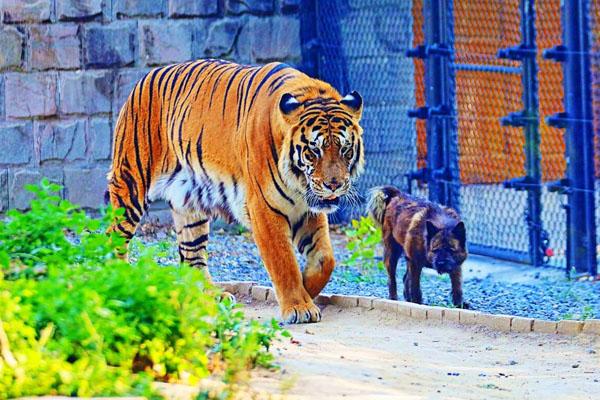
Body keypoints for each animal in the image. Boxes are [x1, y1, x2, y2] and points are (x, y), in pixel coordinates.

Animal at [105, 57, 364, 324]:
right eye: (314, 151)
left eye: (345, 150)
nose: (333, 184)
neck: (299, 184)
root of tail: (145, 77)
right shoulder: (265, 209)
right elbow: (284, 262)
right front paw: (299, 306)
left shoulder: (307, 208)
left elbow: (325, 259)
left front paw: (306, 290)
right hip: (130, 183)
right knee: (114, 236)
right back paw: (117, 282)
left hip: (190, 204)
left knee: (192, 256)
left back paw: (210, 296)